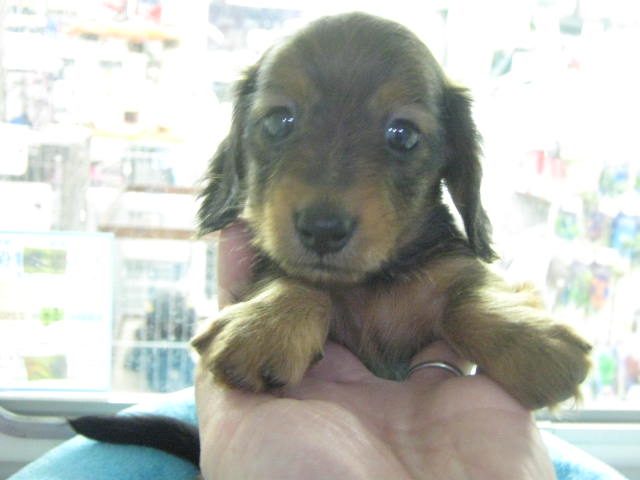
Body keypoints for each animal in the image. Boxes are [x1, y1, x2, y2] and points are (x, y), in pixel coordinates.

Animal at [71, 11, 591, 468]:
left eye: (403, 135)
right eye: (278, 121)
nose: (323, 229)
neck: (370, 285)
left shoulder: (454, 267)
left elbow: (472, 295)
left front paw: (530, 341)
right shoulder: (280, 263)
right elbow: (294, 280)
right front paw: (267, 325)